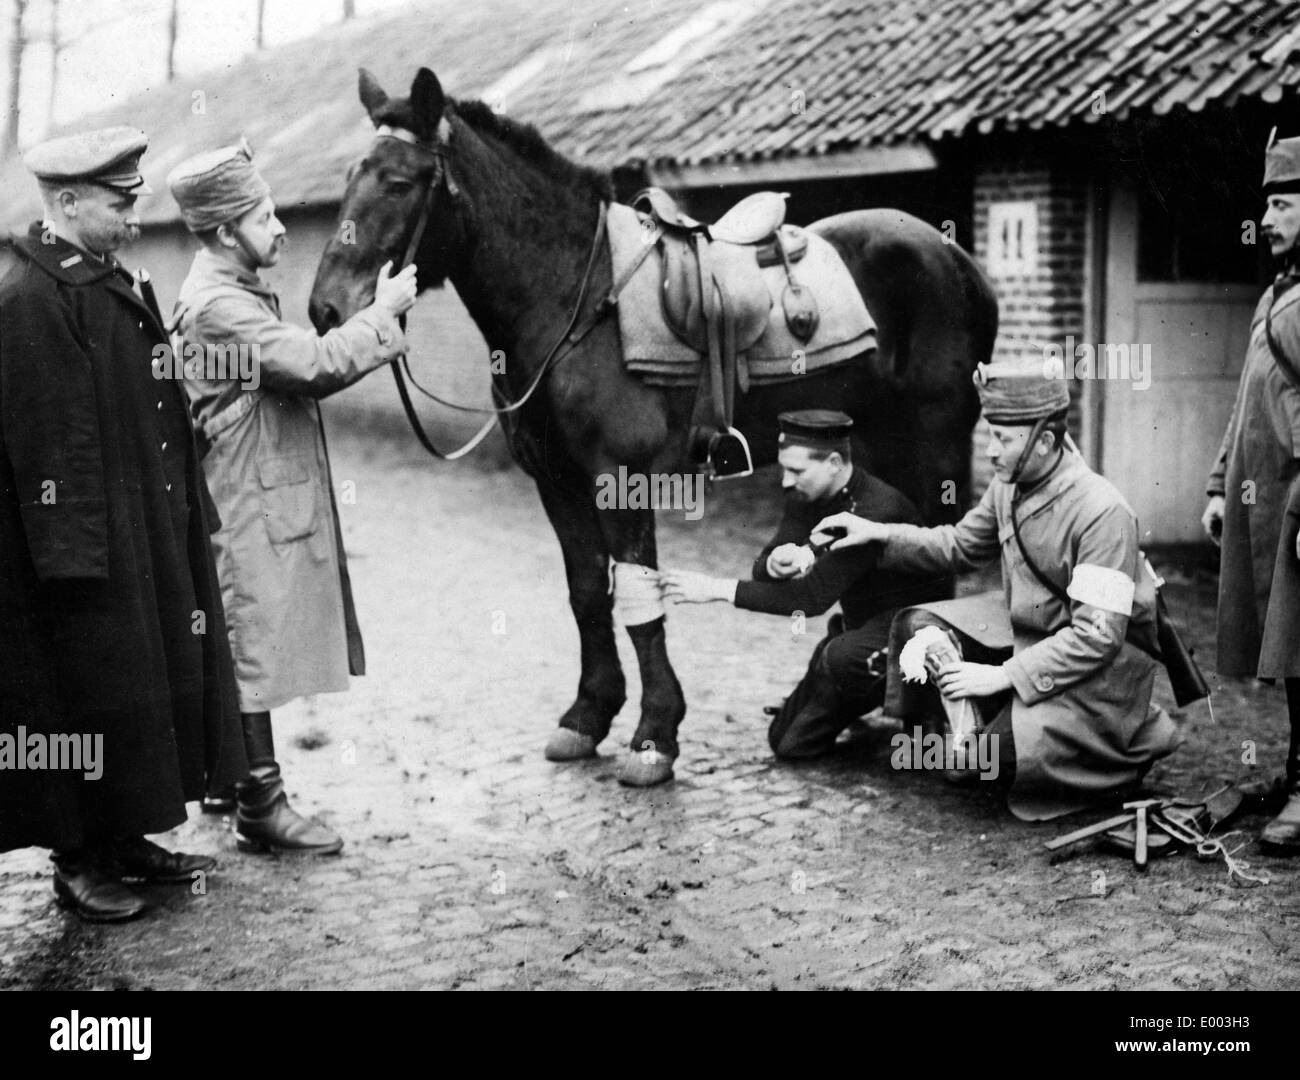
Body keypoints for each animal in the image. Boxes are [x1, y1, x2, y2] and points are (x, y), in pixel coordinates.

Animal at [309, 69, 998, 784]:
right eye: (354, 175)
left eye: (398, 181)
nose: (326, 308)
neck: (575, 298)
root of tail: (954, 258)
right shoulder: (556, 482)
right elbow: (588, 592)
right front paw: (587, 715)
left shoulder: (621, 479)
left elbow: (641, 600)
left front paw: (654, 736)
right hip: (878, 437)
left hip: (936, 443)